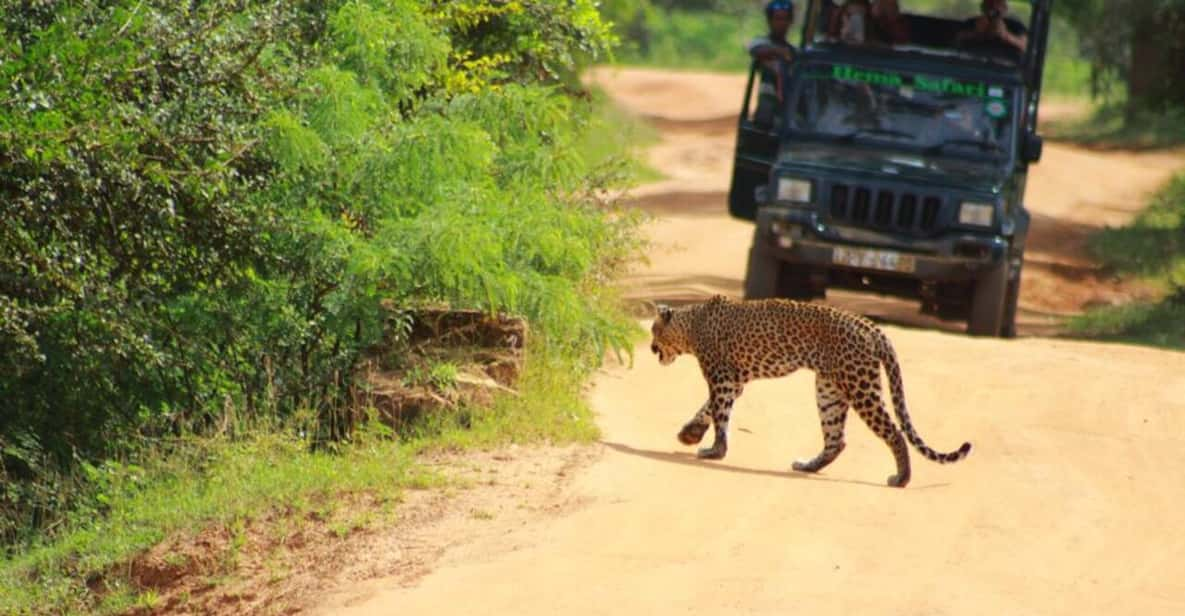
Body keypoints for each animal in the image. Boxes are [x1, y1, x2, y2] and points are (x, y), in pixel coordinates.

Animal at [649, 293, 971, 485]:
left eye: (653, 330)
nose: (651, 347)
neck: (692, 323)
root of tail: (871, 327)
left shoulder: (721, 377)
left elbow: (719, 414)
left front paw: (715, 451)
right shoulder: (734, 381)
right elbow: (710, 408)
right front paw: (690, 434)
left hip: (860, 386)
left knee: (893, 431)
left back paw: (901, 478)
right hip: (829, 390)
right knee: (836, 440)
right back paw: (808, 466)